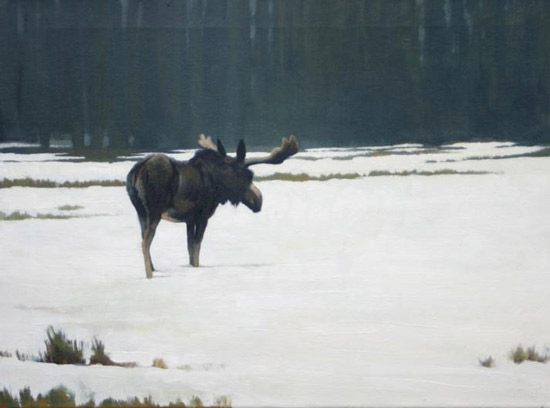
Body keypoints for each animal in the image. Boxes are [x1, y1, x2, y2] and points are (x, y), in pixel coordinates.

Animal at [126, 134, 299, 278]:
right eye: (248, 176)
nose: (258, 201)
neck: (219, 185)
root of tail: (137, 172)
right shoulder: (203, 215)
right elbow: (197, 247)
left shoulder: (189, 219)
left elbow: (190, 247)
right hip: (154, 211)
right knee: (145, 243)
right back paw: (149, 275)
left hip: (141, 212)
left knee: (144, 239)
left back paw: (153, 269)